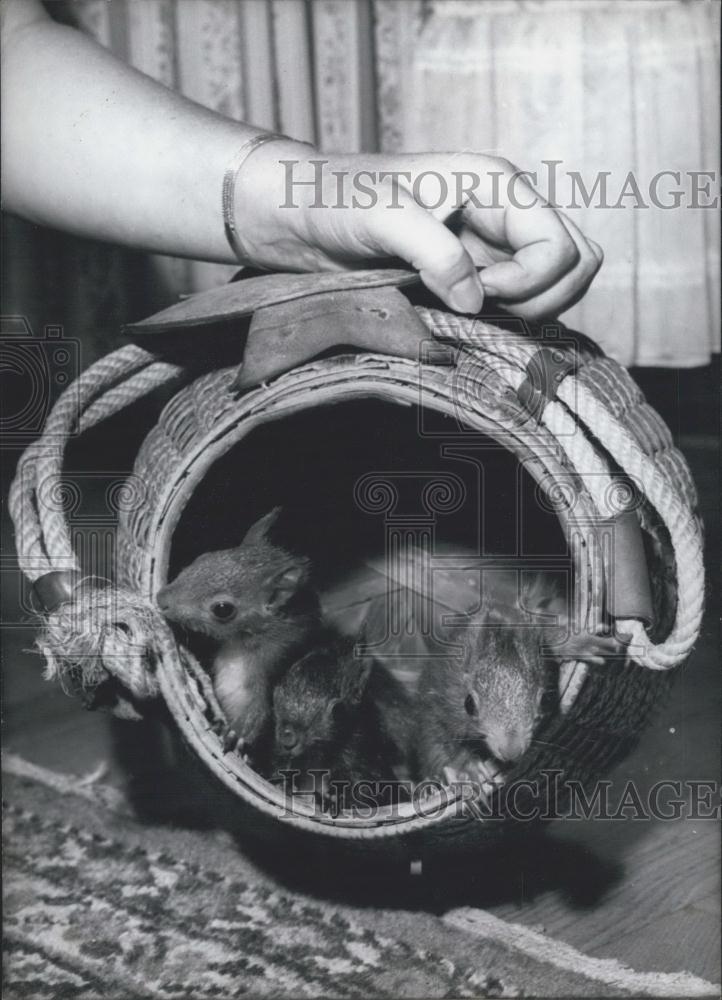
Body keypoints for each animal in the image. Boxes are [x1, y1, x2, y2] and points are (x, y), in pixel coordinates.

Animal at [157, 508, 320, 756]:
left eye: (223, 609)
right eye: (203, 557)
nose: (161, 599)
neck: (240, 645)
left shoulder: (274, 664)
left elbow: (260, 717)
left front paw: (237, 734)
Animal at [268, 632, 408, 812]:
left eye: (338, 710)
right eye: (274, 694)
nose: (287, 738)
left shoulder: (359, 759)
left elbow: (360, 793)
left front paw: (328, 802)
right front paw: (284, 784)